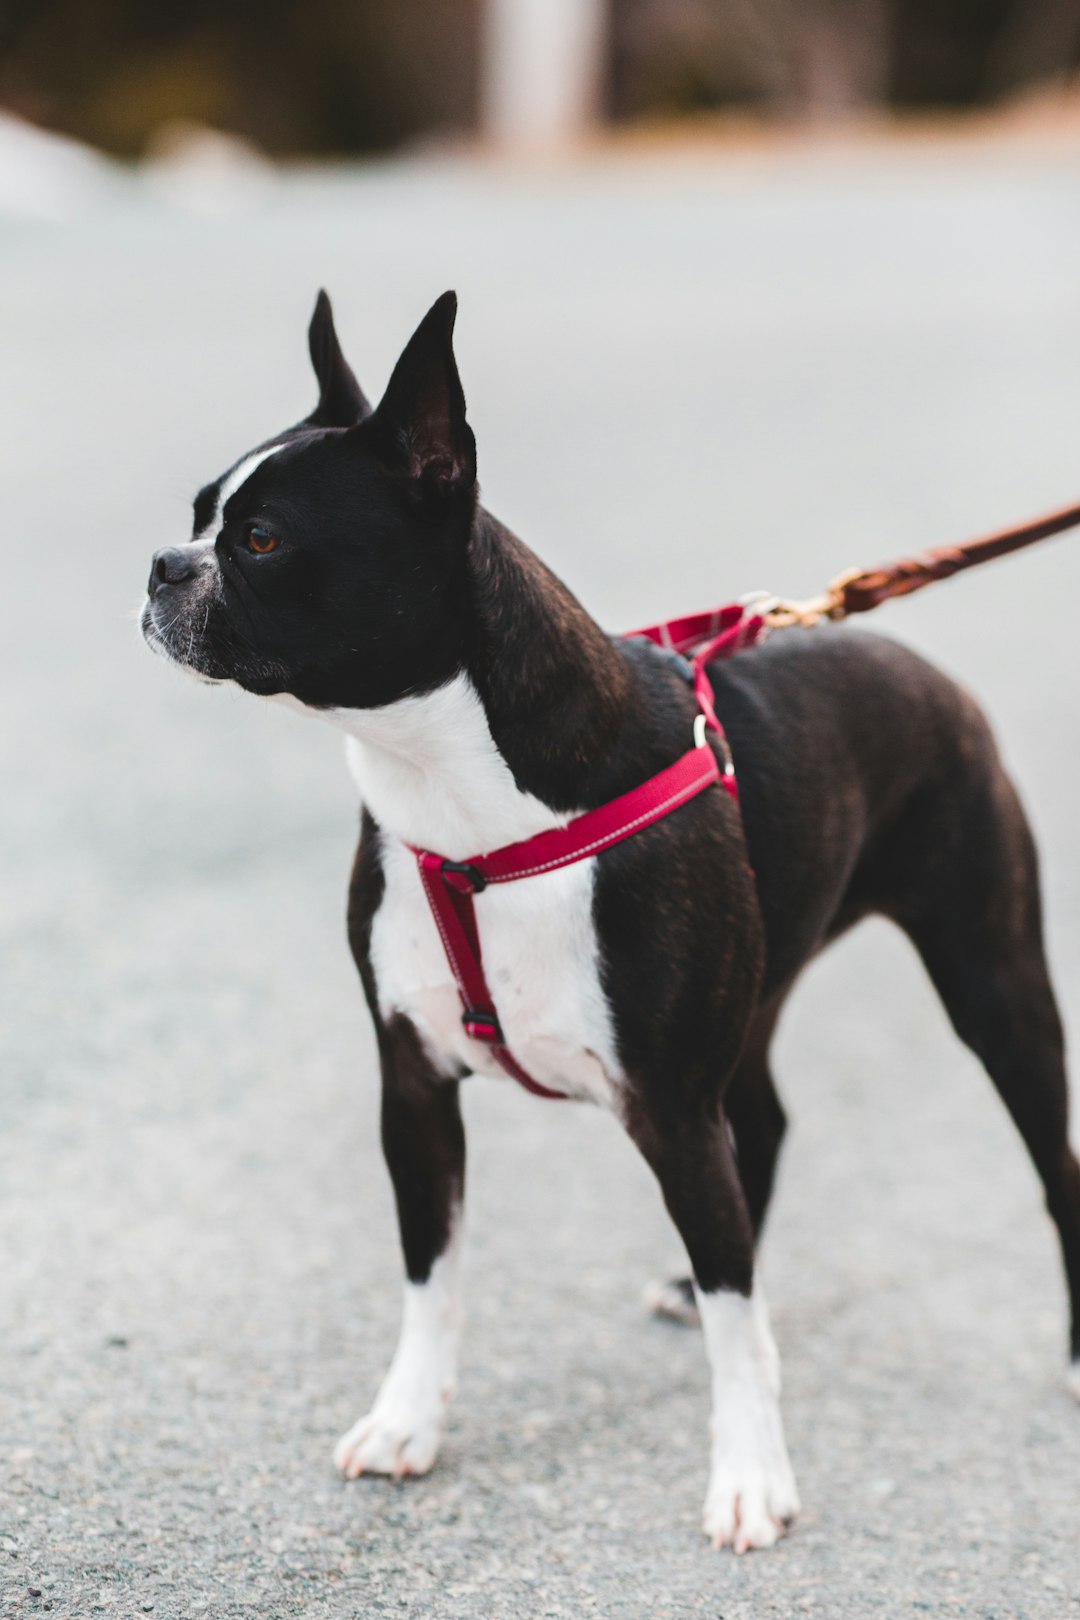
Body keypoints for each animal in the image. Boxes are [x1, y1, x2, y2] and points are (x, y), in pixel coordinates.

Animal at [141, 298, 1080, 1548]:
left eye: (259, 541)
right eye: (201, 515)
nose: (162, 566)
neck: (462, 795)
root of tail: (906, 650)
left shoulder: (669, 1105)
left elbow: (739, 1316)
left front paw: (750, 1476)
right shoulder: (415, 1087)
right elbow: (430, 1274)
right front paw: (407, 1422)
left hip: (995, 981)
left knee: (1050, 1162)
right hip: (763, 991)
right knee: (762, 1124)